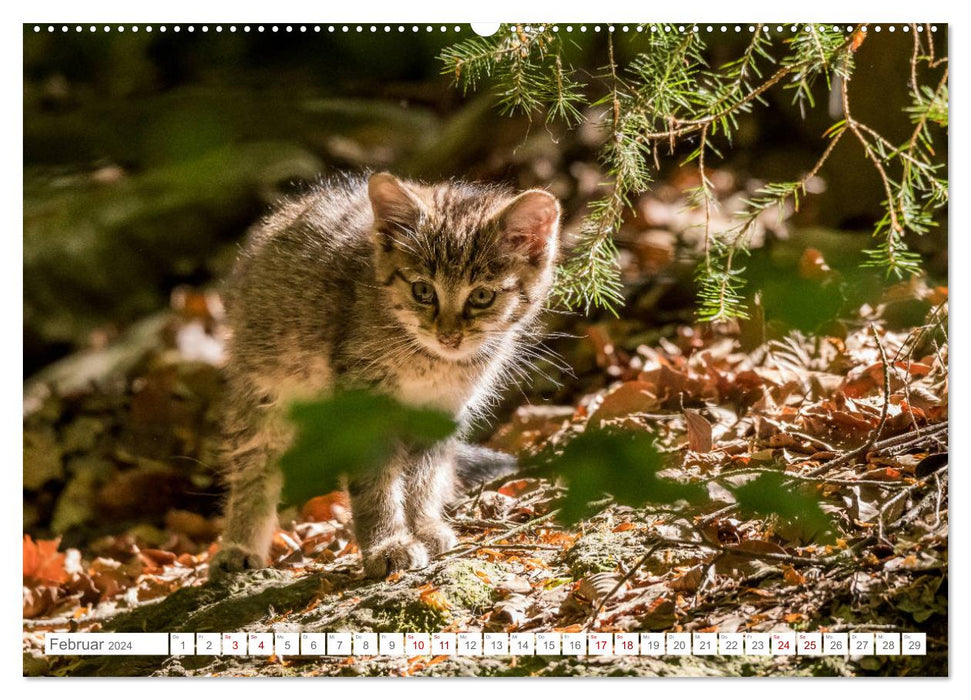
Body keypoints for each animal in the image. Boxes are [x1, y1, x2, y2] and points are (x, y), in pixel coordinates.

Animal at [213, 171, 560, 580]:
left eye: (481, 297)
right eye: (423, 290)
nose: (449, 336)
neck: (430, 362)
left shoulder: (441, 410)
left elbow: (424, 477)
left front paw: (423, 526)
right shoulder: (363, 404)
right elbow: (374, 482)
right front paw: (387, 544)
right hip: (264, 389)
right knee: (254, 464)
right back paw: (239, 546)